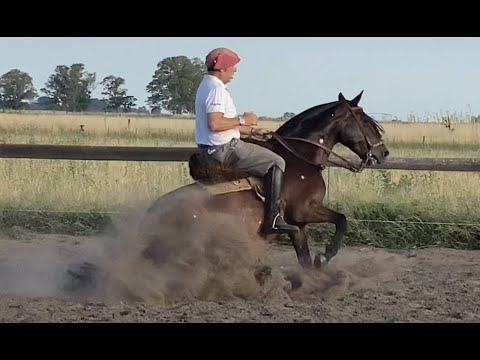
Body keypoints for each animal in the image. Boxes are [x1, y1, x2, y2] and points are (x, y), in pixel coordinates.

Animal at [140, 91, 390, 268]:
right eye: (365, 121)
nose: (383, 152)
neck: (301, 157)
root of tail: (150, 215)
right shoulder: (304, 211)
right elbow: (342, 220)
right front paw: (326, 256)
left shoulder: (298, 226)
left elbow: (305, 259)